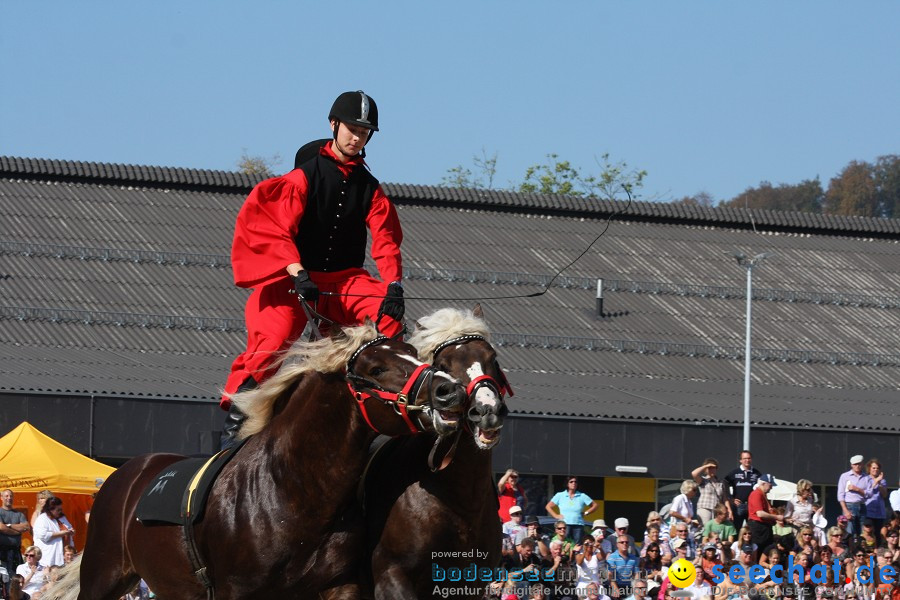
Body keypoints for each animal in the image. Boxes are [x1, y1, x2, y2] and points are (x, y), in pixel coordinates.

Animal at [44, 324, 464, 600]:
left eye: (416, 354)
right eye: (376, 369)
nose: (450, 391)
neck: (293, 494)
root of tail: (127, 474)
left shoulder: (339, 586)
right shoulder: (236, 592)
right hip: (103, 577)